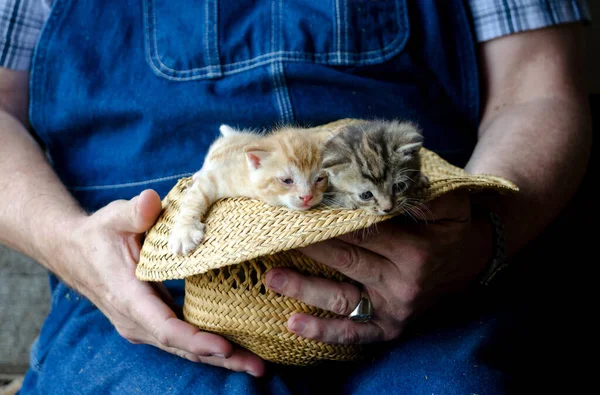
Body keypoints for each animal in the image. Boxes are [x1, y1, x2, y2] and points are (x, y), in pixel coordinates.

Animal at [169, 126, 328, 256]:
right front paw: (184, 232)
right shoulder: (213, 179)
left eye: (319, 179)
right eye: (287, 181)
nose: (307, 196)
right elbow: (193, 200)